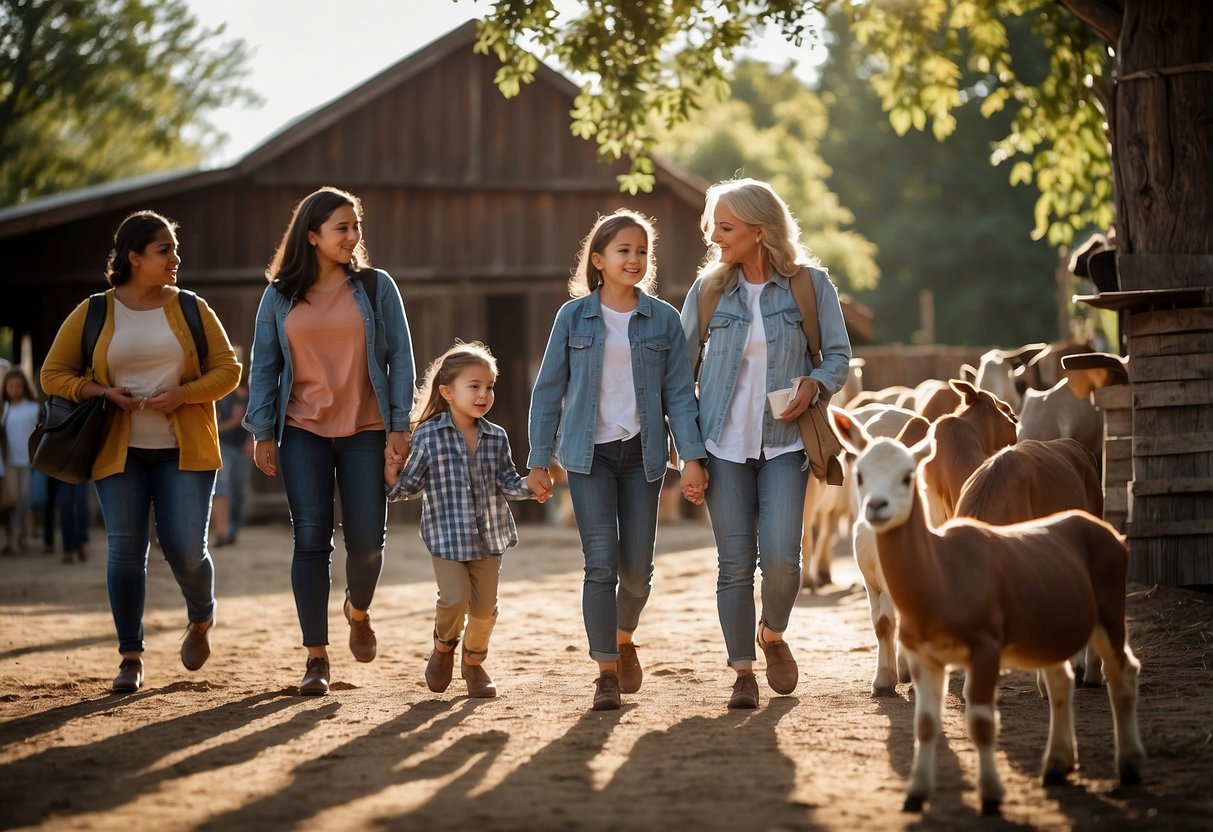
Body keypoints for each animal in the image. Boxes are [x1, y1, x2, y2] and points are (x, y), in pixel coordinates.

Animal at [839, 414, 1140, 815]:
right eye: (857, 472)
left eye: (909, 475)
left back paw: (1092, 679)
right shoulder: (878, 582)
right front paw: (886, 680)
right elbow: (885, 623)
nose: (875, 509)